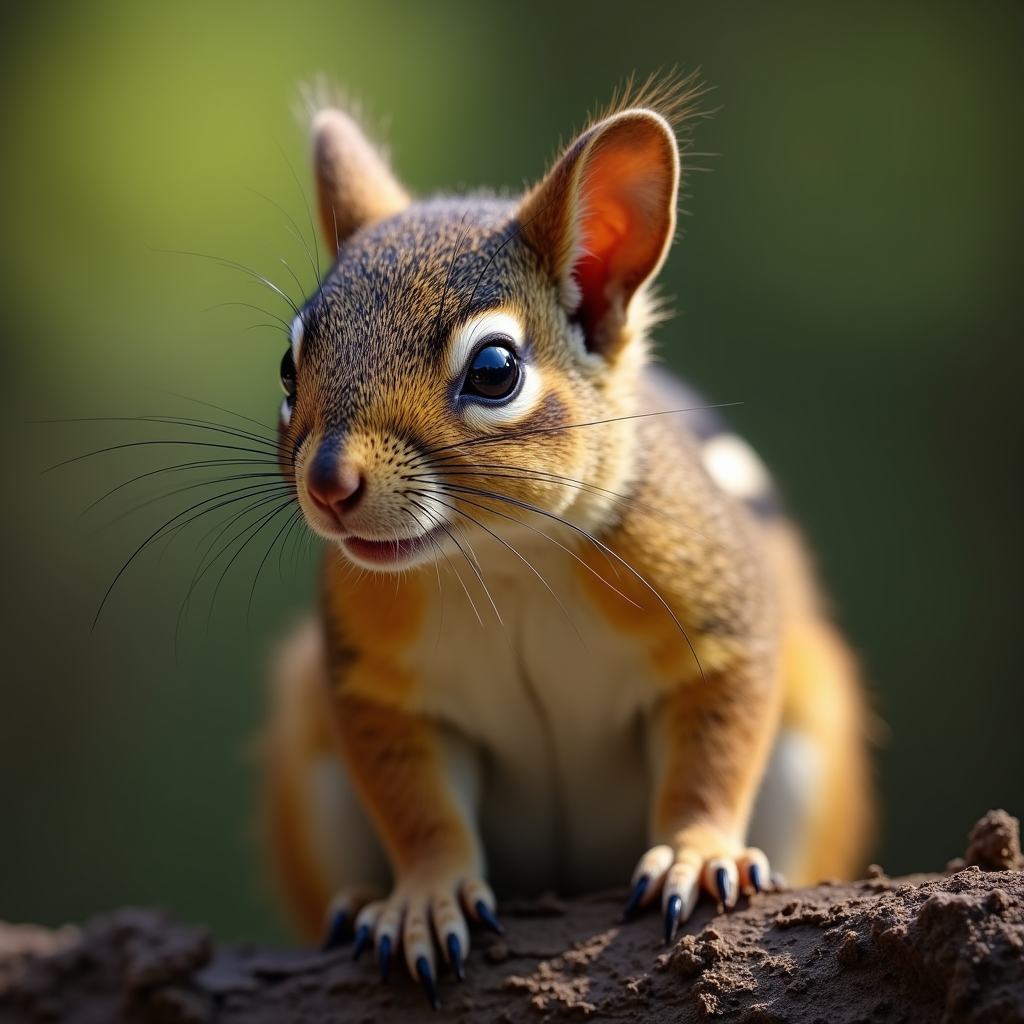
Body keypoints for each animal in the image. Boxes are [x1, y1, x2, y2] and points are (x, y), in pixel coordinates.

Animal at [262, 74, 873, 1008]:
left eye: (494, 371)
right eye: (290, 367)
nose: (328, 485)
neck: (502, 562)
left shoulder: (721, 621)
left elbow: (715, 751)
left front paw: (696, 852)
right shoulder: (374, 685)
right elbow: (416, 806)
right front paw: (423, 896)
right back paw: (363, 897)